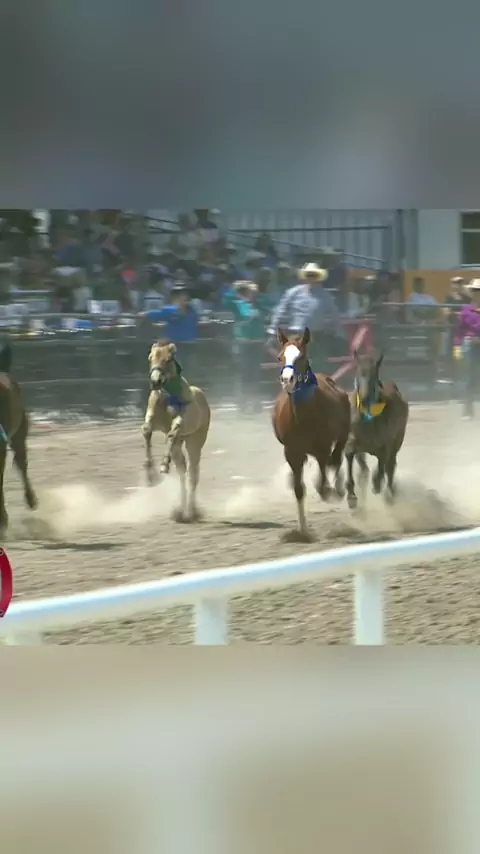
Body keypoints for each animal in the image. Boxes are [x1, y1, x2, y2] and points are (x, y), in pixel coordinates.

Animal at [141, 340, 211, 522]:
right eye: (150, 358)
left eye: (167, 359)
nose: (155, 381)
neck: (168, 397)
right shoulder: (153, 418)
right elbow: (146, 430)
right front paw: (150, 476)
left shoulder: (181, 421)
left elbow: (173, 432)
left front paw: (164, 465)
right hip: (180, 445)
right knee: (182, 471)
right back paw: (181, 510)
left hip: (195, 441)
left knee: (192, 473)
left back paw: (191, 512)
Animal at [273, 327, 351, 541]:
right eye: (280, 356)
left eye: (301, 357)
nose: (287, 380)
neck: (303, 416)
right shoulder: (292, 452)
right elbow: (299, 489)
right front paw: (302, 531)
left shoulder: (322, 448)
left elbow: (323, 485)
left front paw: (334, 491)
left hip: (341, 436)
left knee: (336, 458)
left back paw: (340, 488)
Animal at [345, 350, 409, 509]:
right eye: (358, 373)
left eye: (374, 375)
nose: (364, 398)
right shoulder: (354, 439)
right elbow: (349, 453)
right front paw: (351, 496)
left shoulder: (386, 443)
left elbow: (383, 464)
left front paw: (377, 484)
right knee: (365, 468)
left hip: (397, 442)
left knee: (390, 466)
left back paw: (389, 493)